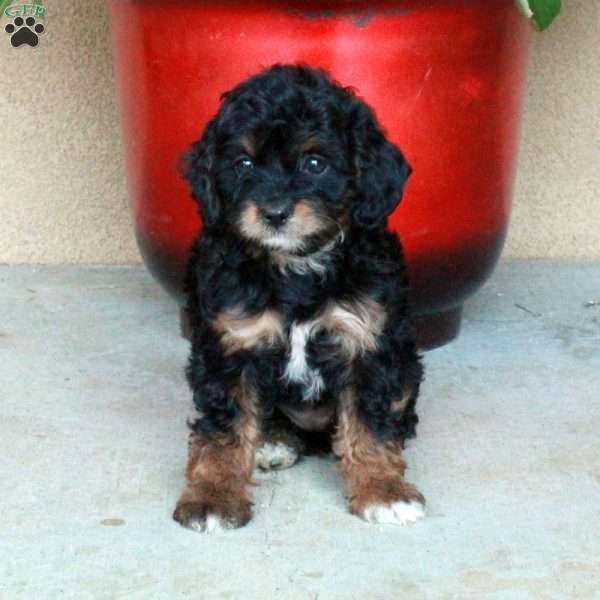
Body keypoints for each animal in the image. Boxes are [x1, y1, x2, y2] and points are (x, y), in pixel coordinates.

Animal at [173, 64, 424, 536]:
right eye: (244, 163)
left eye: (314, 163)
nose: (274, 214)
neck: (295, 268)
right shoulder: (231, 343)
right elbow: (223, 429)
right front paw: (213, 496)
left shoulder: (366, 341)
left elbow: (371, 425)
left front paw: (383, 490)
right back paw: (273, 440)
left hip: (405, 360)